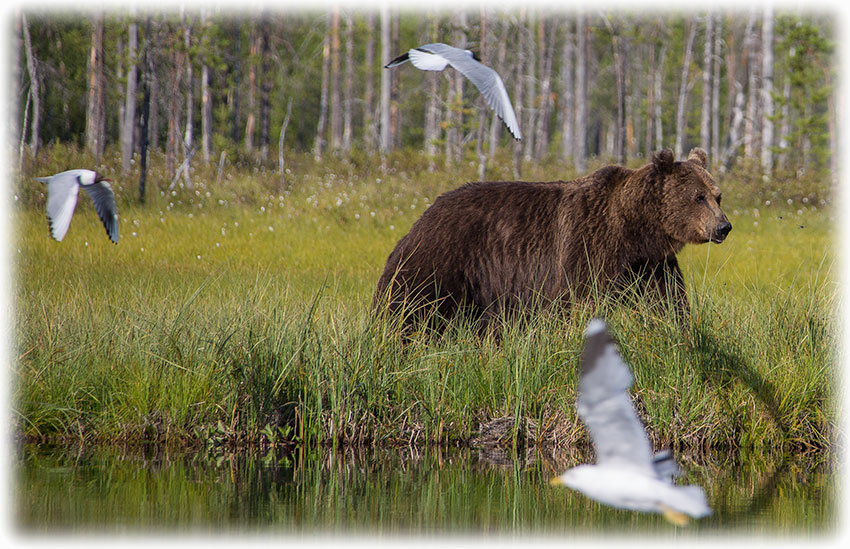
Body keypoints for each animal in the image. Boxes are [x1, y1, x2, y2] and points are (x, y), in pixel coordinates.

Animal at [374, 147, 732, 330]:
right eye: (698, 197)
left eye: (718, 196)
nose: (723, 227)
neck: (634, 231)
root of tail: (422, 216)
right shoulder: (588, 248)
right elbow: (579, 300)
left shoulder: (648, 265)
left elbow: (667, 301)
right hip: (443, 261)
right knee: (412, 305)